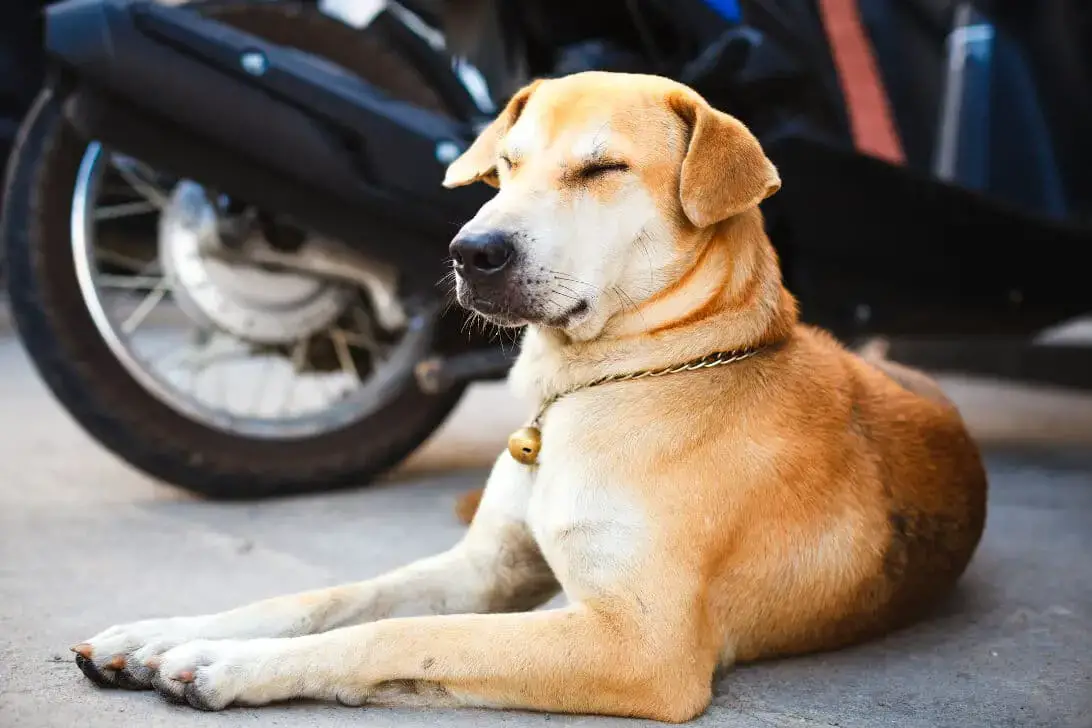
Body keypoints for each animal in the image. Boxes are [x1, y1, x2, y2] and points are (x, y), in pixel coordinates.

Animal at [68, 70, 991, 720]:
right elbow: (330, 597)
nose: (469, 252)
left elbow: (403, 633)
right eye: (504, 168)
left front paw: (231, 664)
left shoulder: (638, 645)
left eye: (602, 168)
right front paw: (168, 631)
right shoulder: (486, 571)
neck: (614, 379)